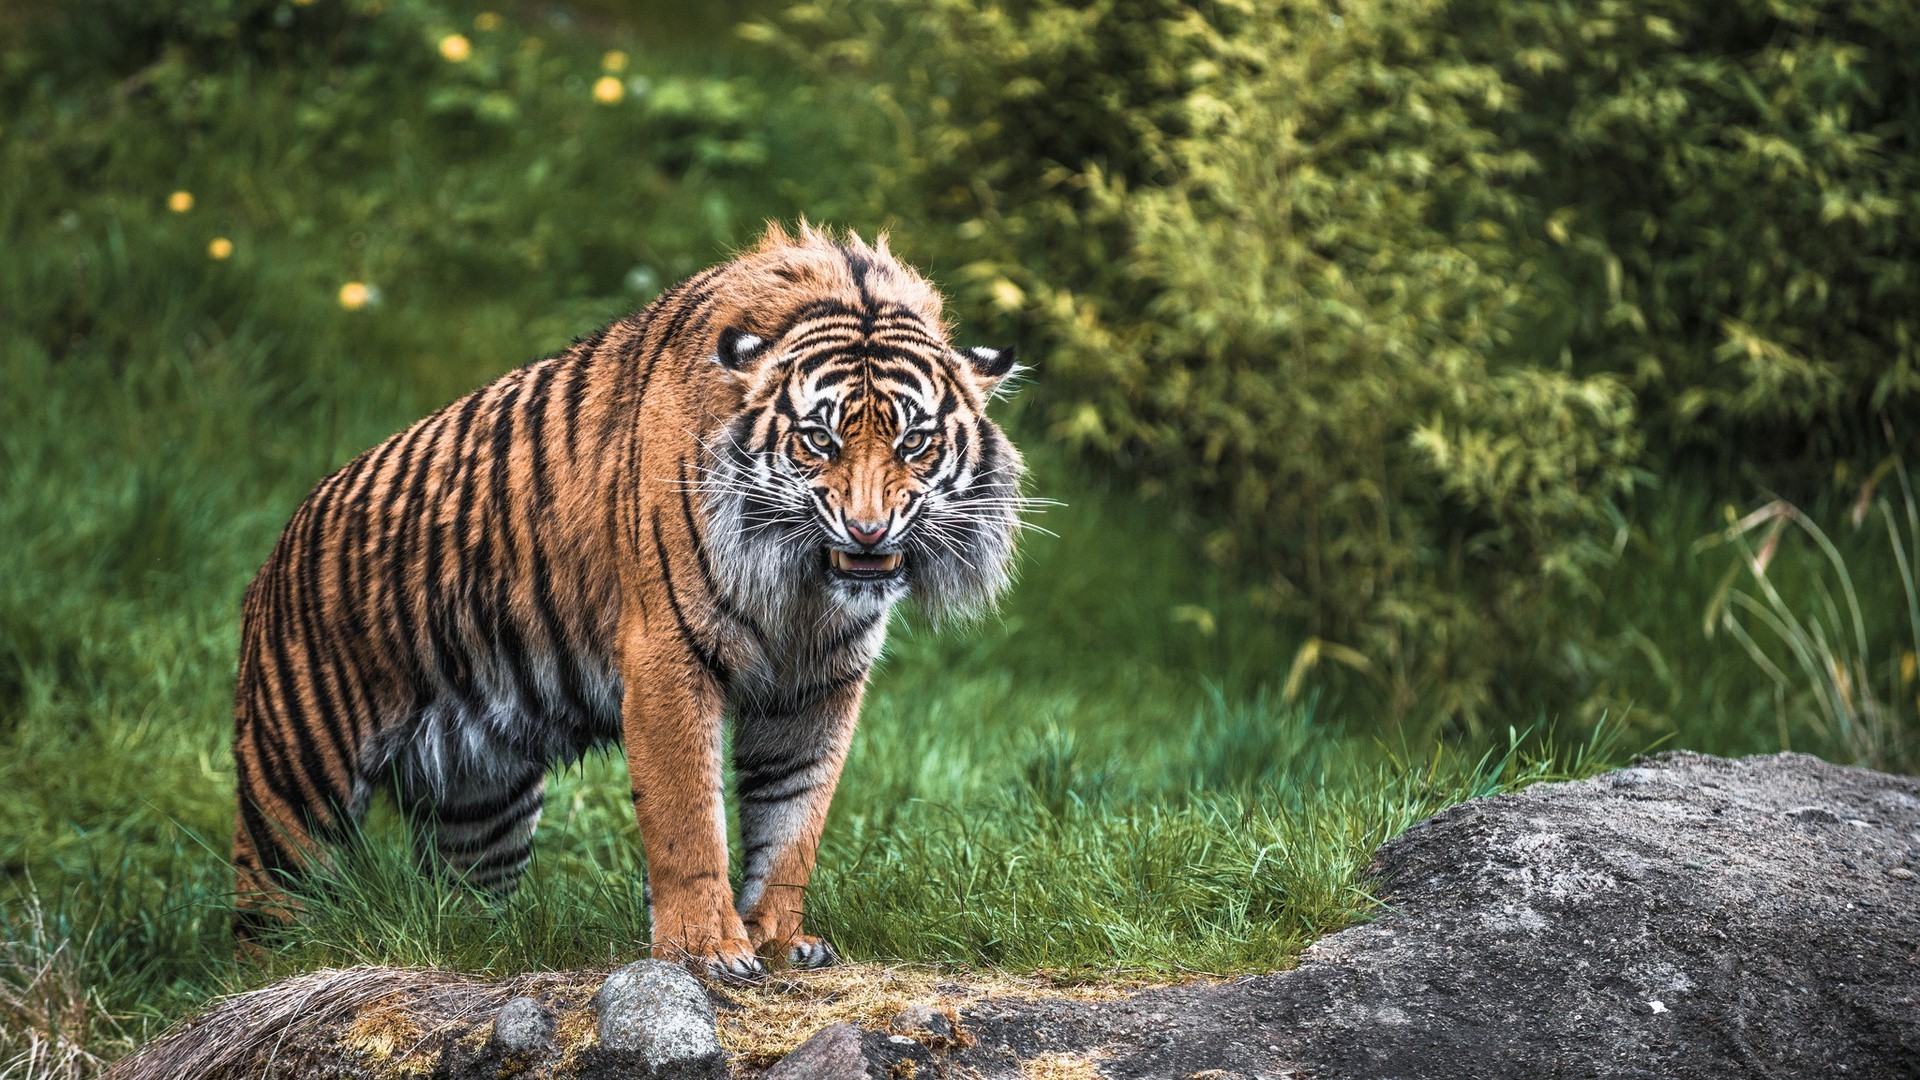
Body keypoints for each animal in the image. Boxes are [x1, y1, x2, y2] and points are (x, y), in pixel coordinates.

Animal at [230, 224, 1029, 976]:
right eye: (817, 440)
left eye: (915, 442)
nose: (867, 531)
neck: (800, 585)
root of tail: (275, 551)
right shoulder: (668, 654)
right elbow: (688, 818)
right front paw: (707, 949)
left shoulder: (818, 685)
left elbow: (793, 822)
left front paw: (777, 938)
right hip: (296, 783)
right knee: (265, 910)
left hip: (481, 801)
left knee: (457, 898)